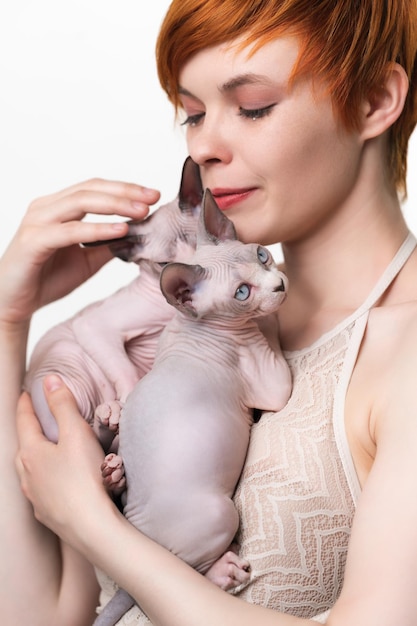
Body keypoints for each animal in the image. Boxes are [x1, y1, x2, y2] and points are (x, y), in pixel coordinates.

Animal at [93, 188, 292, 620]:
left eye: (261, 256)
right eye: (242, 293)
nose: (280, 285)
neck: (194, 326)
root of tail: (138, 535)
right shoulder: (269, 379)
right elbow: (269, 339)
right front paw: (268, 319)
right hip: (219, 513)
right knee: (190, 570)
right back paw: (224, 571)